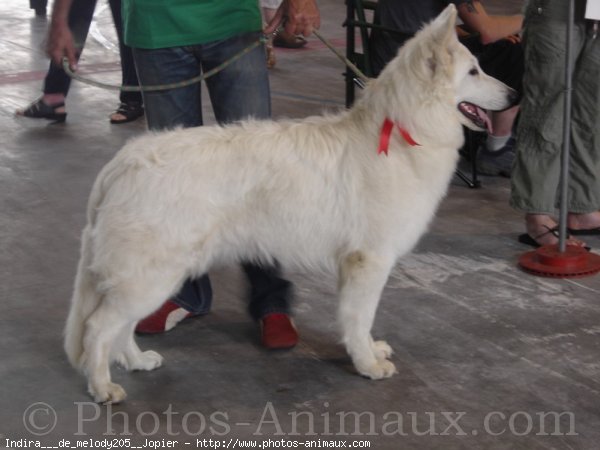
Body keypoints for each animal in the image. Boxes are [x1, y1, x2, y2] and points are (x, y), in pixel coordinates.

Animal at [64, 5, 516, 402]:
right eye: (474, 71)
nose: (515, 94)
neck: (406, 127)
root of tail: (122, 162)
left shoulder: (355, 267)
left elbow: (356, 319)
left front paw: (368, 351)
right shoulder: (369, 262)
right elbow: (360, 318)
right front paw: (368, 365)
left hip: (148, 277)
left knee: (120, 327)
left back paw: (137, 361)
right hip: (152, 275)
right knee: (99, 327)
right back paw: (103, 388)